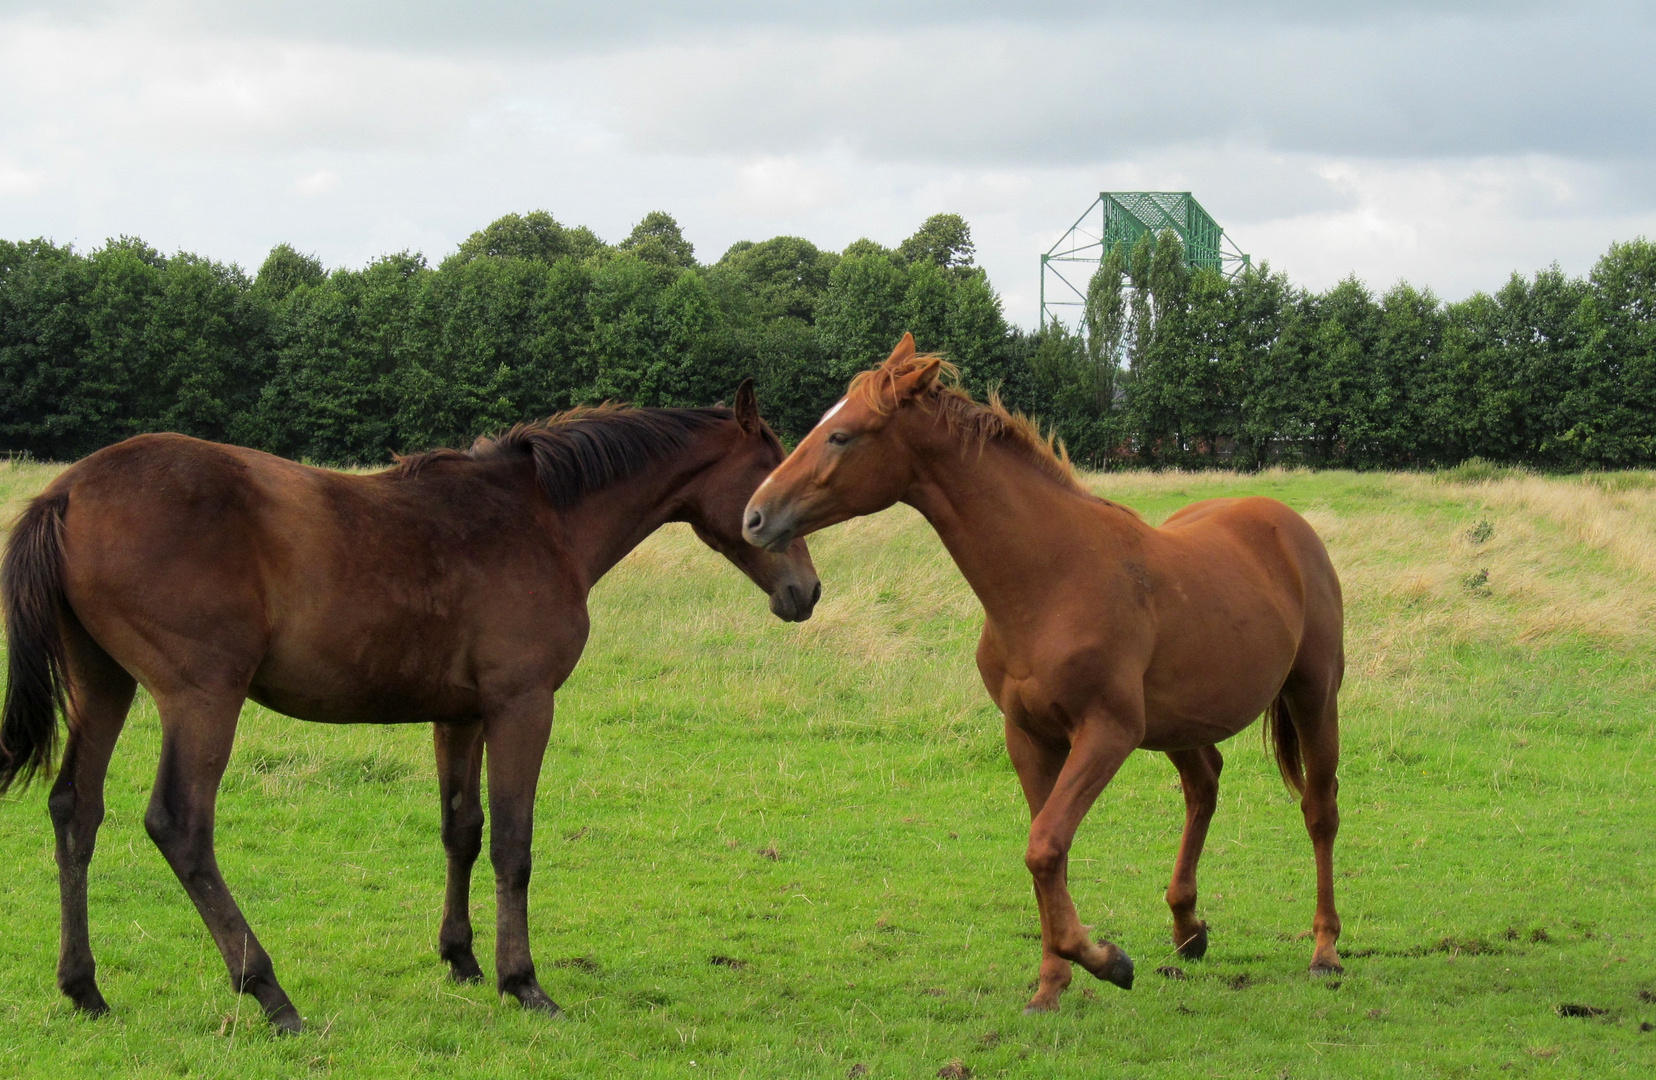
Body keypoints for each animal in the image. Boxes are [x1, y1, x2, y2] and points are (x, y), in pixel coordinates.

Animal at [0, 379, 814, 1026]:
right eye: (772, 472)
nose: (805, 592)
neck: (541, 521)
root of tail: (67, 491)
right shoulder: (523, 705)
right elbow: (513, 842)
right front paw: (524, 982)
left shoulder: (460, 713)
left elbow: (463, 830)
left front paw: (462, 959)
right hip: (201, 697)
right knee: (181, 826)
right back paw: (269, 992)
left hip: (103, 684)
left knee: (76, 810)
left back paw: (85, 989)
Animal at [751, 334, 1344, 1013]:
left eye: (843, 435)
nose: (755, 517)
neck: (1051, 579)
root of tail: (1287, 524)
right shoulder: (1028, 736)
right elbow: (1046, 853)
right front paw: (1052, 984)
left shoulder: (1107, 733)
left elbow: (1044, 847)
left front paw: (1108, 961)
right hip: (1179, 722)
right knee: (1204, 785)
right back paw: (1188, 929)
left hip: (1313, 694)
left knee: (1319, 810)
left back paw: (1324, 951)